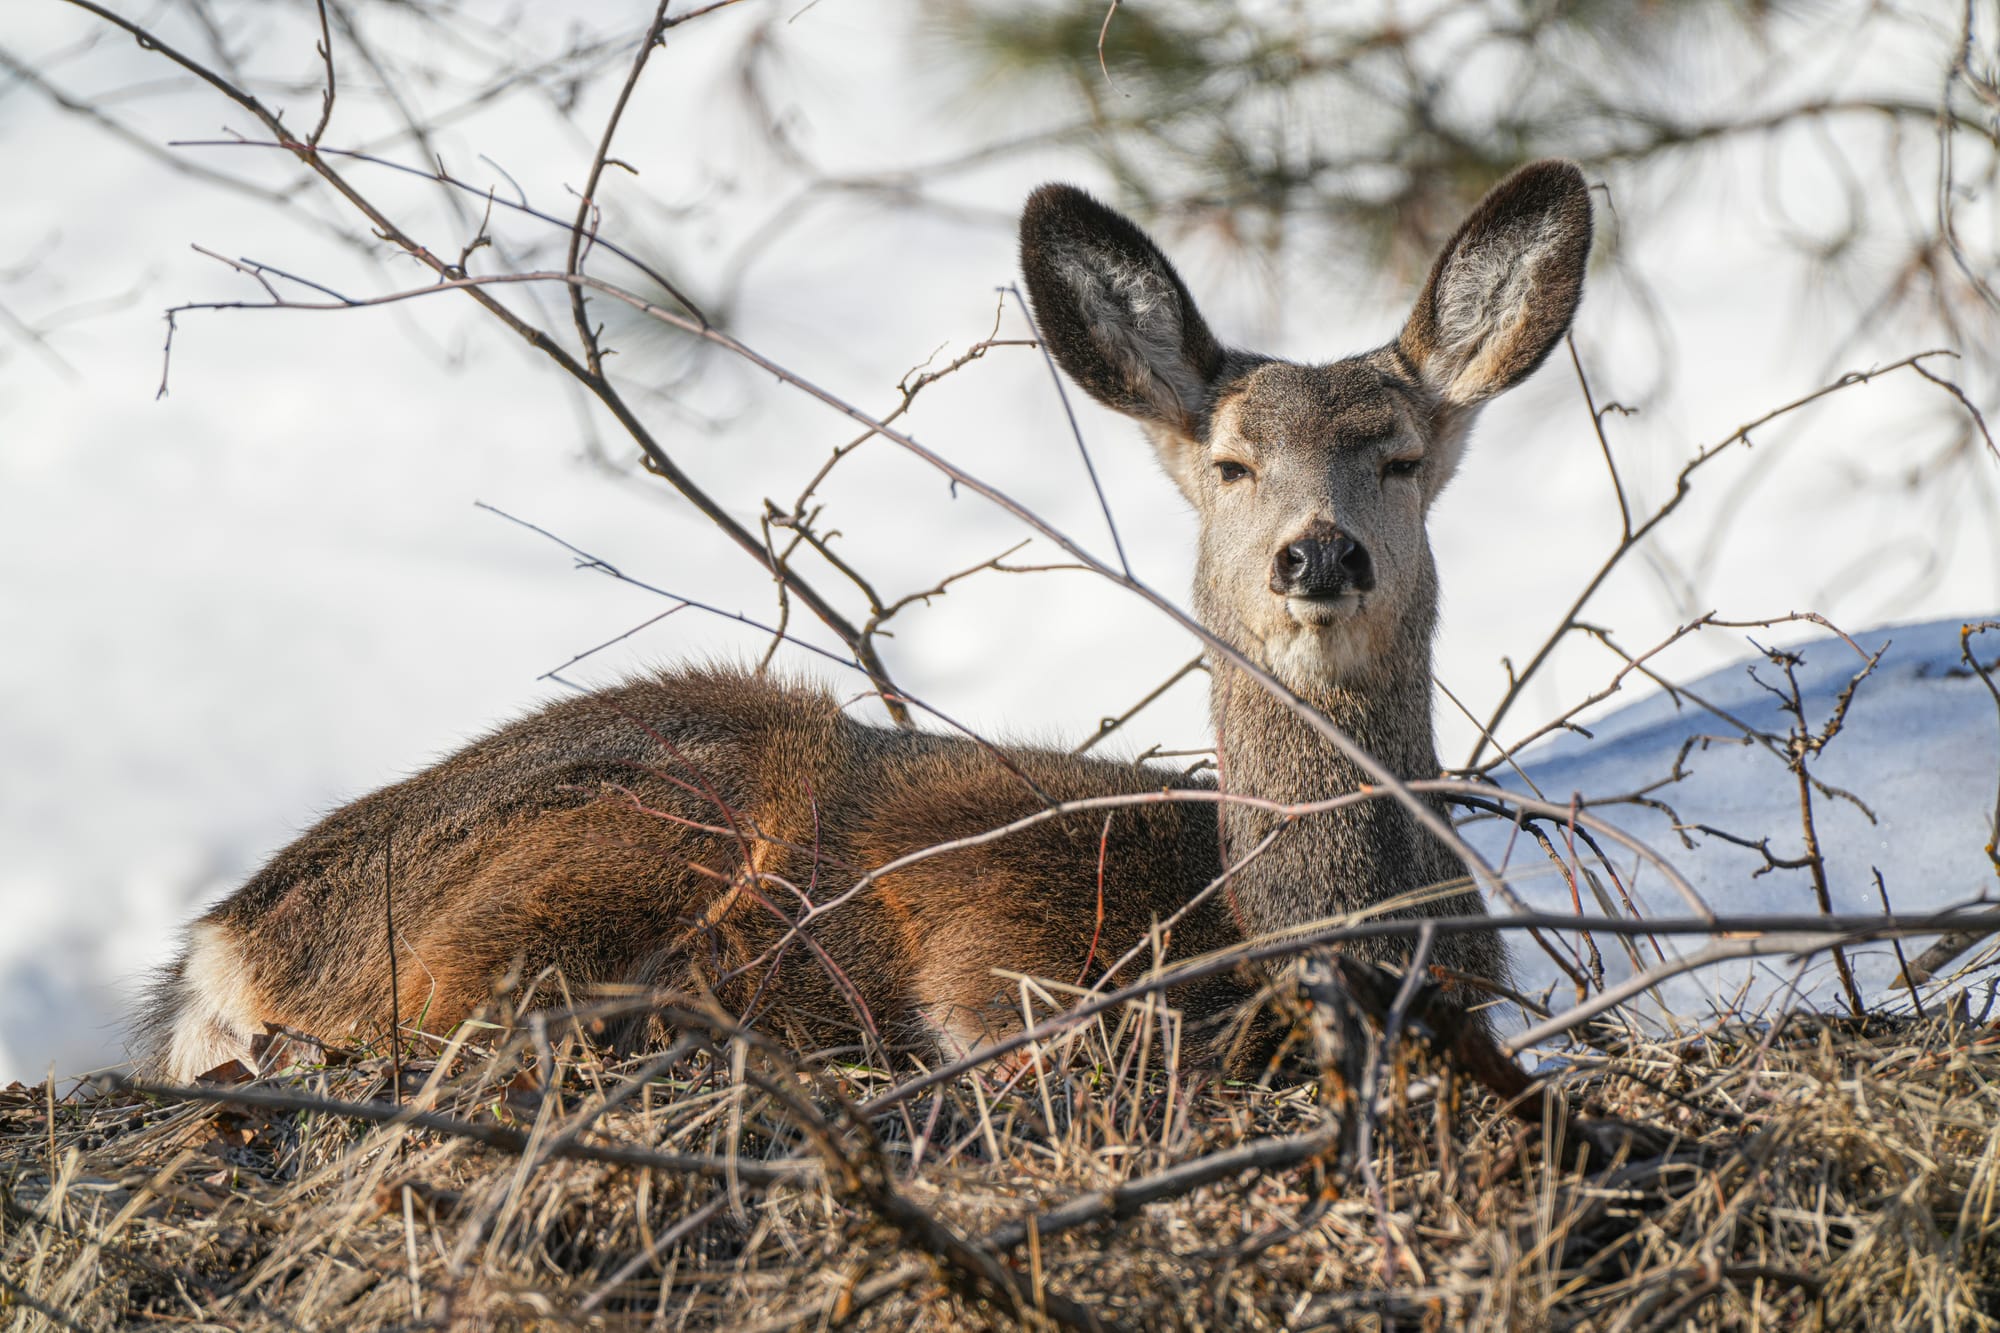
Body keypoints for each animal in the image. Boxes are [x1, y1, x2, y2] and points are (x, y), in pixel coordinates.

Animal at [137, 161, 1592, 1088]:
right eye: (1231, 463)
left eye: (1400, 455)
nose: (1319, 552)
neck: (1282, 933)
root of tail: (221, 943)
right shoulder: (986, 922)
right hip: (638, 825)